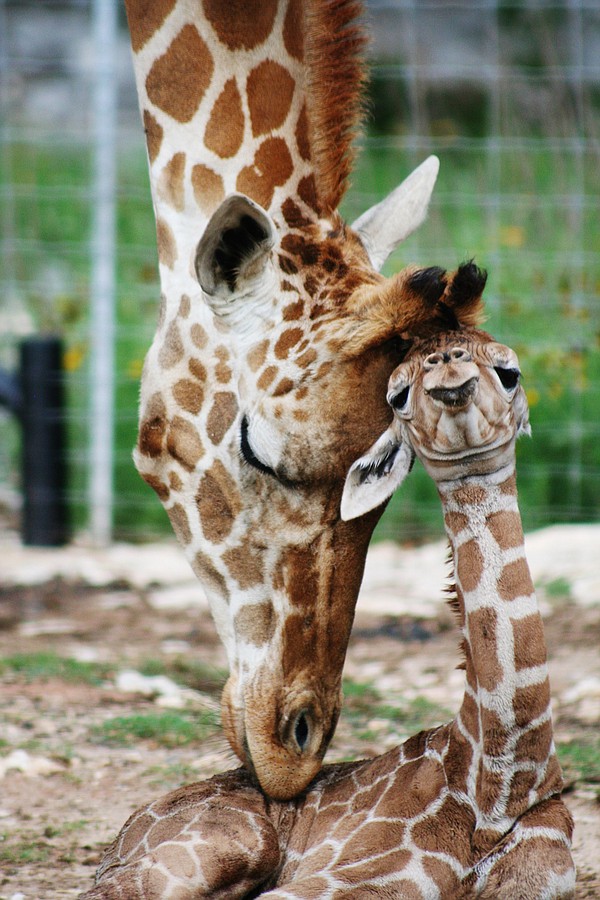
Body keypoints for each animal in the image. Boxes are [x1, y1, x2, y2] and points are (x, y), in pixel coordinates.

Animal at [78, 266, 572, 900]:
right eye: (397, 394)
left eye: (509, 372)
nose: (449, 370)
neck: (500, 783)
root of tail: (120, 836)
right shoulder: (340, 878)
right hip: (224, 846)